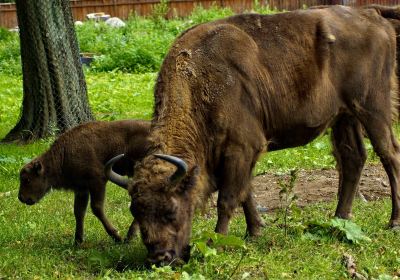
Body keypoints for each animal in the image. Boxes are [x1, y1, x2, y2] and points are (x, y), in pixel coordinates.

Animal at [18, 119, 149, 244]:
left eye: (27, 179)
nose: (21, 198)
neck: (63, 154)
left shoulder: (98, 182)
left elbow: (96, 208)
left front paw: (116, 236)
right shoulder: (81, 189)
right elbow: (79, 211)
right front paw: (78, 241)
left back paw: (130, 236)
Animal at [108, 6, 398, 264]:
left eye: (170, 210)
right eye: (136, 211)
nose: (160, 258)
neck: (200, 77)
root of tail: (371, 15)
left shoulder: (241, 147)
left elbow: (227, 199)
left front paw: (217, 242)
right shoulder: (239, 154)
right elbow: (246, 192)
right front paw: (255, 232)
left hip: (373, 108)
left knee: (389, 154)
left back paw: (393, 222)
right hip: (344, 117)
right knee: (353, 159)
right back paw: (340, 219)